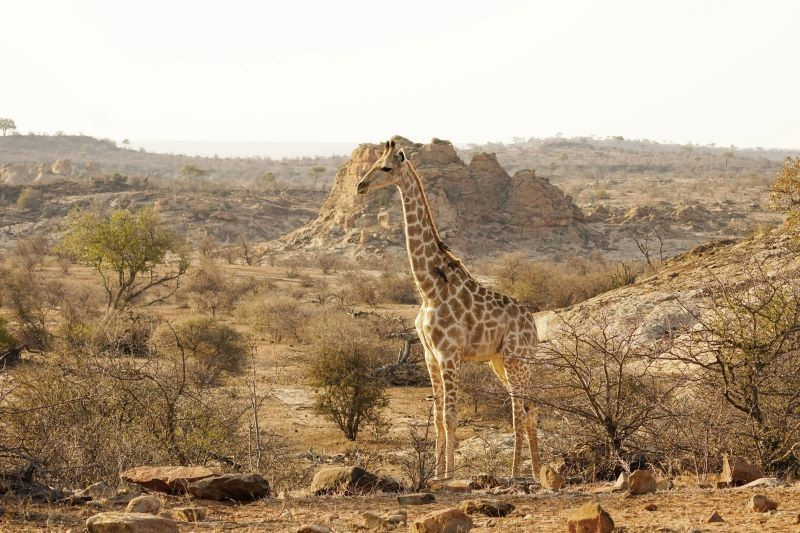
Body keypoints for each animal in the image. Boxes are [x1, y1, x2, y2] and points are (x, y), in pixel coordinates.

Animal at [356, 139, 541, 480]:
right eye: (372, 164)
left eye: (385, 168)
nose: (360, 186)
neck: (428, 288)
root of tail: (534, 324)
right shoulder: (430, 355)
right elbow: (438, 415)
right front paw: (436, 473)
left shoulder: (449, 354)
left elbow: (452, 415)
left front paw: (450, 475)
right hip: (499, 362)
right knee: (526, 409)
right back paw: (530, 471)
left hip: (517, 359)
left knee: (522, 411)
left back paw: (520, 473)